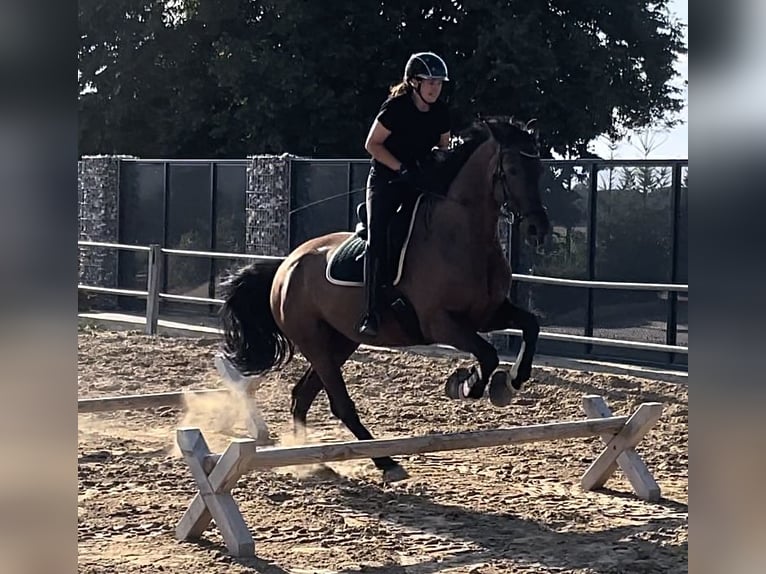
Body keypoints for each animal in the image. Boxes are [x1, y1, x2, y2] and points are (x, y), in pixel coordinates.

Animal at [219, 117, 548, 482]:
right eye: (513, 170)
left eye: (539, 169)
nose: (539, 229)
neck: (461, 235)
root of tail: (285, 265)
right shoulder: (441, 323)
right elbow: (488, 355)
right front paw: (467, 385)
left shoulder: (488, 314)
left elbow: (530, 325)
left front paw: (511, 382)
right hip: (315, 342)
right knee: (339, 403)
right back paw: (385, 462)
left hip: (341, 341)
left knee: (302, 395)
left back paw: (311, 461)